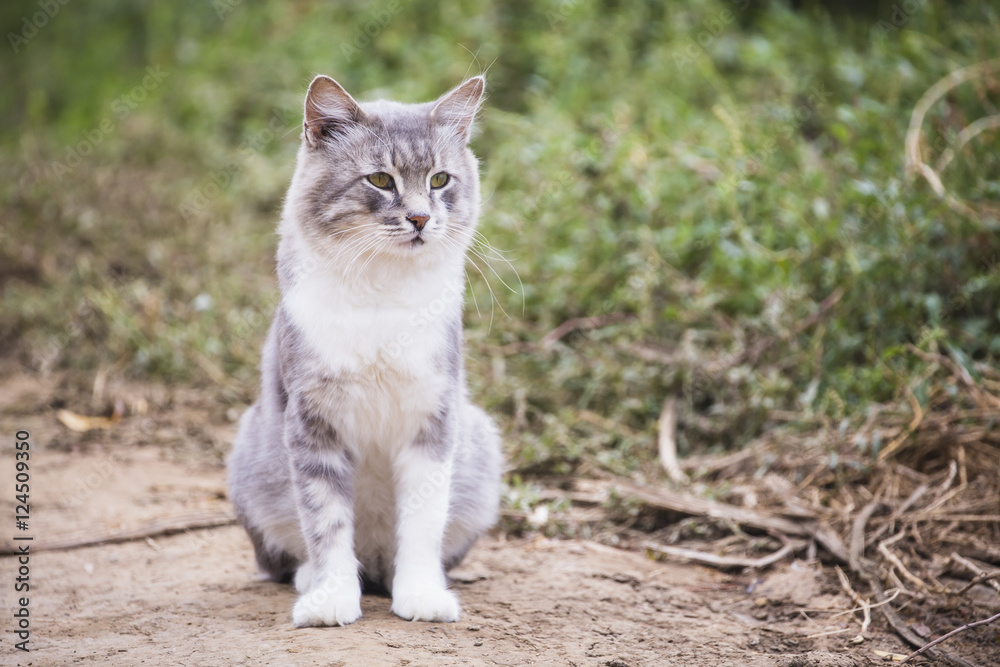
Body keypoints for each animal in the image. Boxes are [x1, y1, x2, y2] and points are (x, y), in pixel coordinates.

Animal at [230, 75, 504, 628]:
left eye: (440, 179)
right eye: (380, 179)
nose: (420, 217)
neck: (383, 291)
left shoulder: (433, 418)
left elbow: (422, 523)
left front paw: (421, 596)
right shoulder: (312, 424)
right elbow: (327, 523)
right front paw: (331, 600)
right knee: (287, 559)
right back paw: (311, 579)